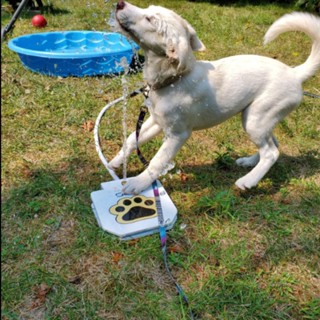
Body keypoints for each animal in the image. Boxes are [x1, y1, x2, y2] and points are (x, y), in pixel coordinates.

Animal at [110, 0, 320, 195]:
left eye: (150, 19)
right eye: (148, 9)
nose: (120, 3)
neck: (173, 80)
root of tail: (295, 73)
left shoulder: (177, 134)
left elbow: (157, 161)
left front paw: (138, 183)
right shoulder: (156, 121)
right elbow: (132, 140)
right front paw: (114, 163)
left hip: (256, 118)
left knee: (271, 152)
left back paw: (248, 181)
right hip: (260, 119)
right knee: (273, 145)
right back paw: (249, 162)